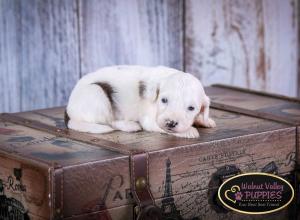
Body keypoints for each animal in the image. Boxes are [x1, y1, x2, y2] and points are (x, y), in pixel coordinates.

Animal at [65, 64, 216, 138]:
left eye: (191, 108)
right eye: (164, 100)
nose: (171, 123)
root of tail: (69, 113)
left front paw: (205, 120)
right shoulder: (150, 120)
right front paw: (189, 131)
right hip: (96, 94)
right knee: (110, 122)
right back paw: (129, 125)